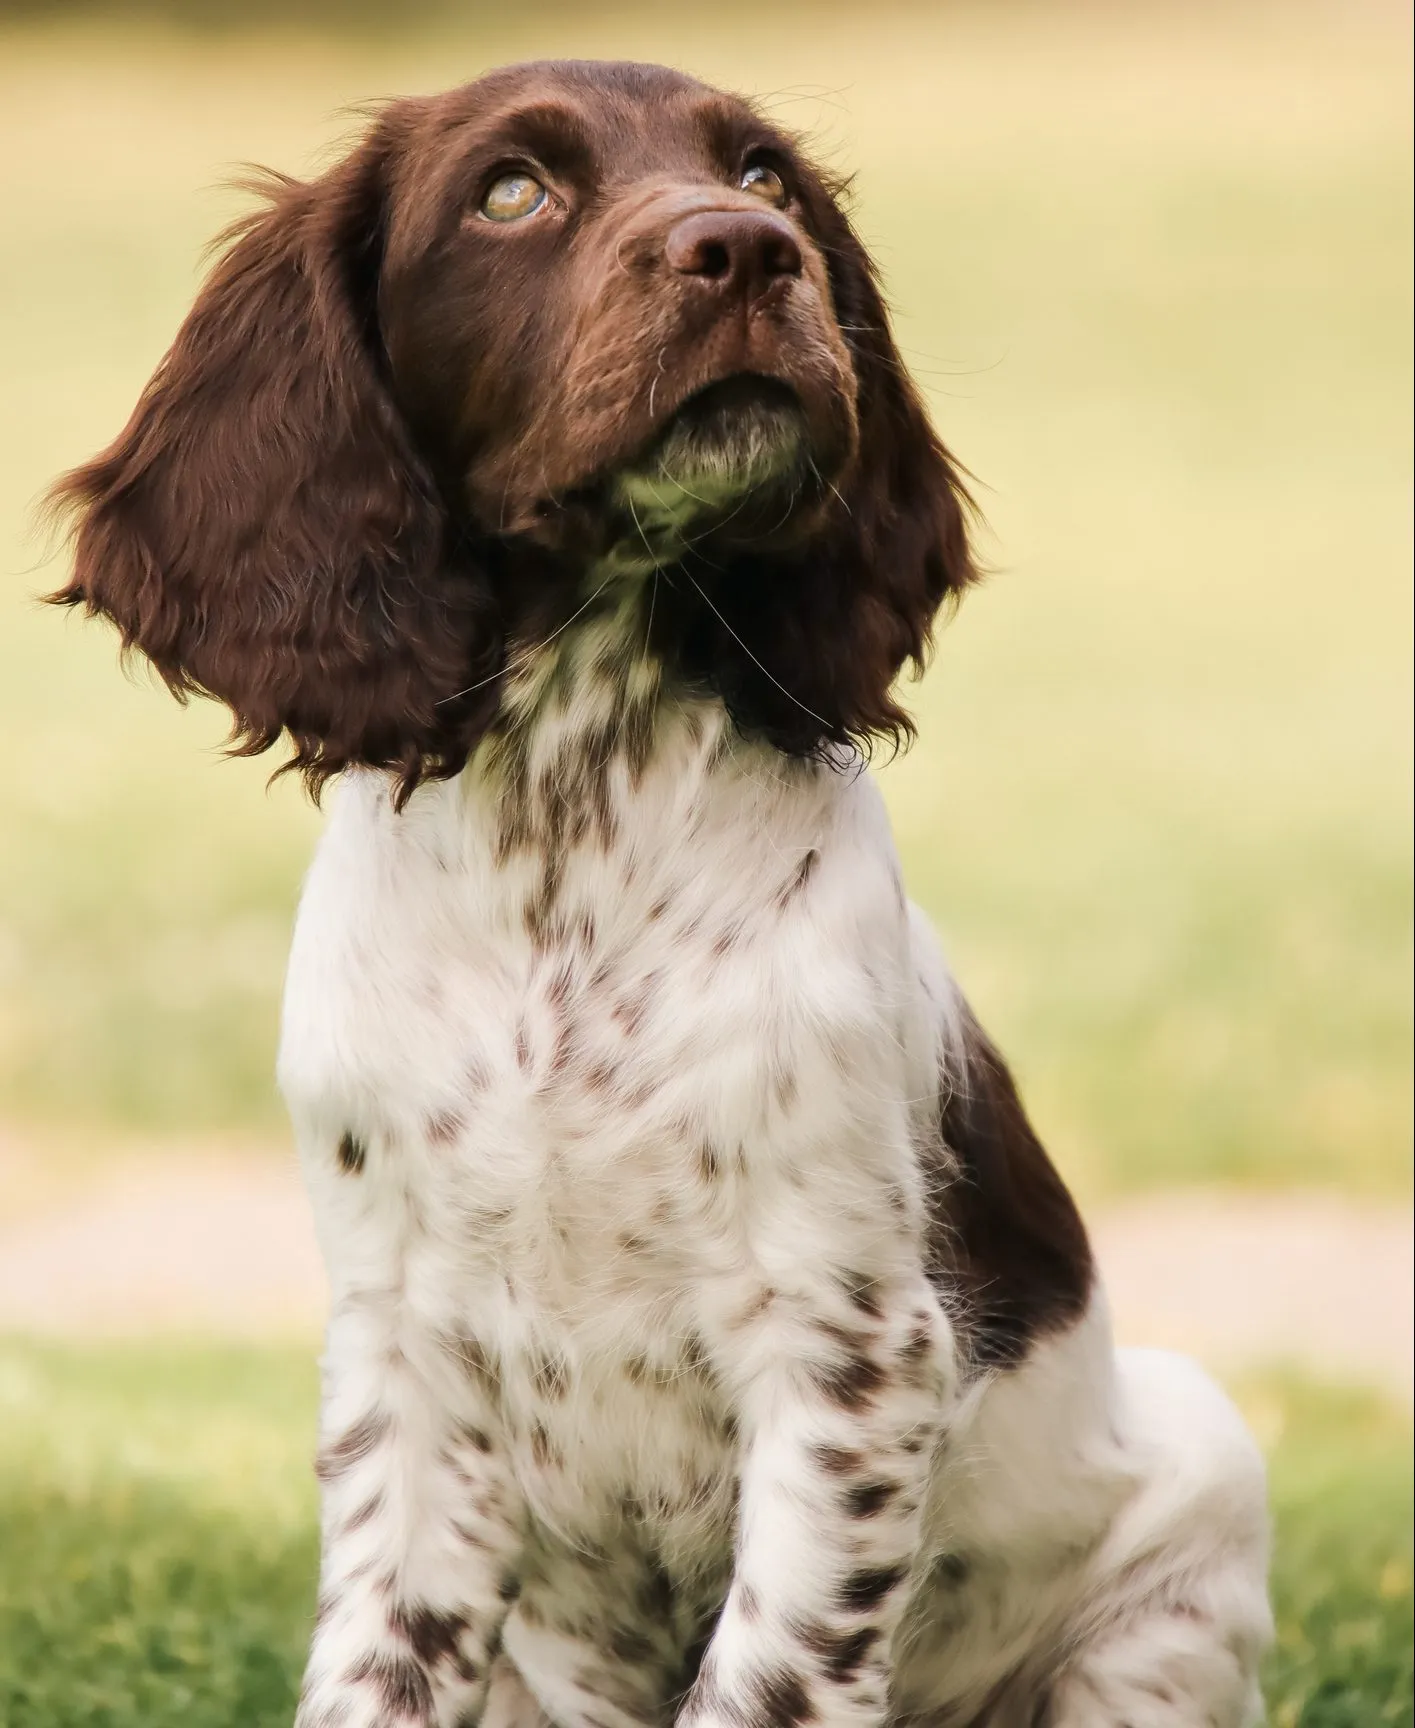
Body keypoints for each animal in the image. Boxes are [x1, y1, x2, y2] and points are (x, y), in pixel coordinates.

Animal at [52, 57, 1271, 1728]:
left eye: (763, 176)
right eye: (509, 193)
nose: (748, 253)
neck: (571, 825)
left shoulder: (842, 1346)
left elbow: (768, 1673)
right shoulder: (399, 1345)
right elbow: (378, 1662)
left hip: (1190, 1501)